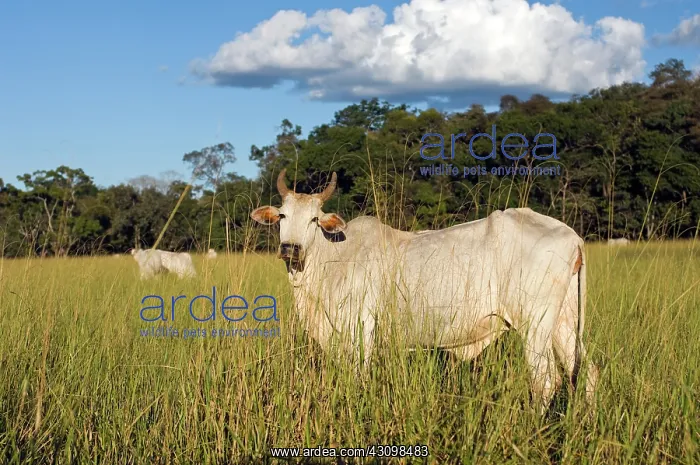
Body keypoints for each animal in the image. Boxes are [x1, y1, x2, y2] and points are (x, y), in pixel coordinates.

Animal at [251, 170, 599, 412]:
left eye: (314, 219)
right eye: (282, 215)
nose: (290, 249)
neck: (332, 257)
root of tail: (572, 235)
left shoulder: (362, 329)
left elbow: (359, 377)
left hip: (534, 326)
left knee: (545, 380)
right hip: (563, 323)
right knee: (586, 371)